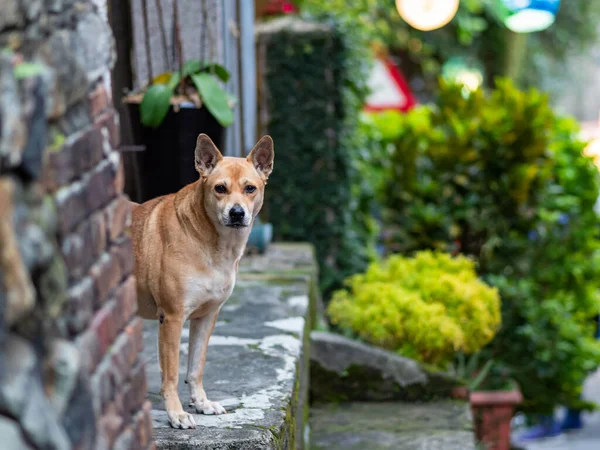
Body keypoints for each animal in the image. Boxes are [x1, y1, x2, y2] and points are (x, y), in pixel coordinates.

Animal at [131, 133, 274, 428]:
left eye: (250, 188)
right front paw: (176, 414)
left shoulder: (207, 317)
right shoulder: (172, 318)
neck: (213, 245)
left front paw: (201, 403)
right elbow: (172, 374)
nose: (237, 213)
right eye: (220, 188)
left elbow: (195, 367)